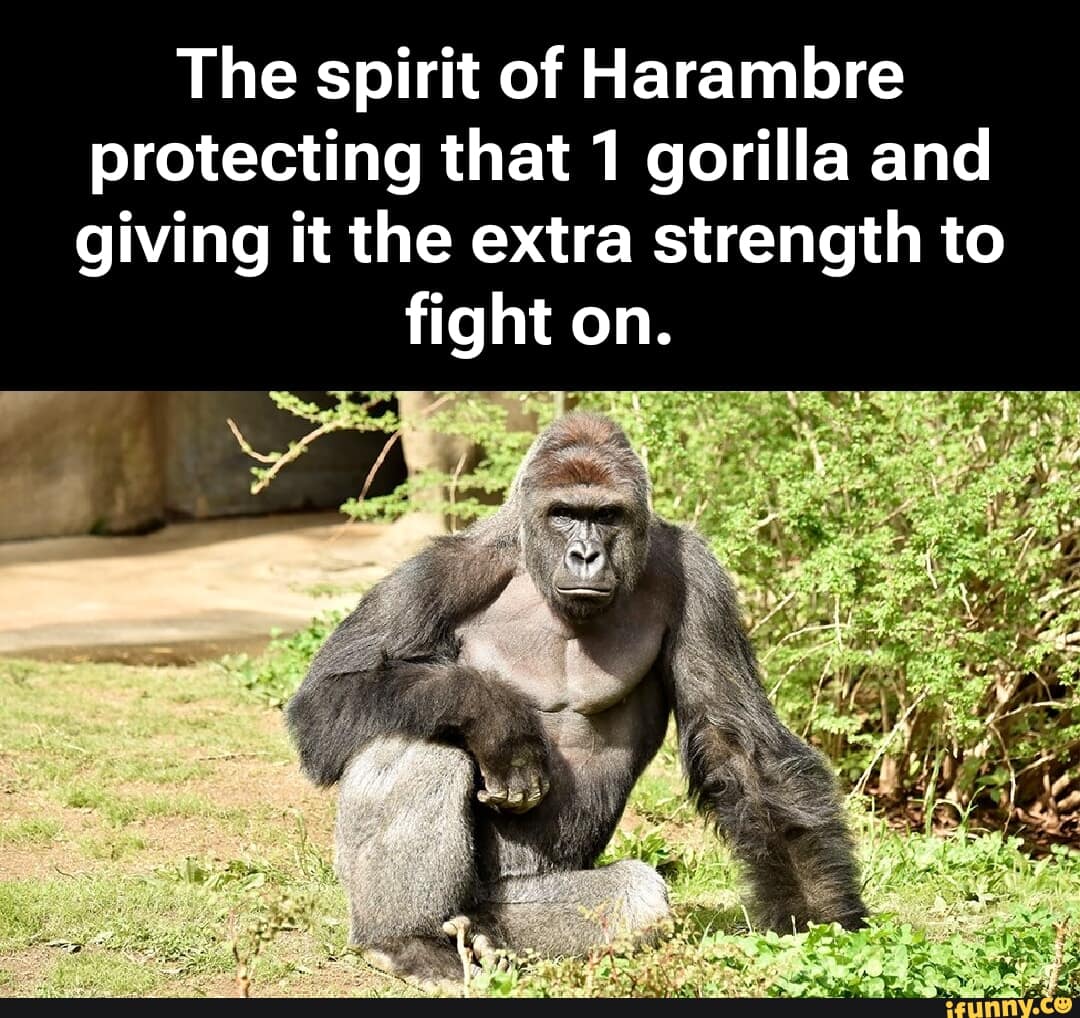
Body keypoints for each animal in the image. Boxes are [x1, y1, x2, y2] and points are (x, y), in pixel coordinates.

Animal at [285, 412, 867, 988]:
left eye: (606, 515)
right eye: (564, 514)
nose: (585, 554)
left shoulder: (700, 580)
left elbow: (738, 744)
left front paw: (819, 918)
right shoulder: (443, 569)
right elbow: (326, 696)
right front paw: (495, 717)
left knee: (632, 895)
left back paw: (485, 936)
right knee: (416, 738)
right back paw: (406, 940)